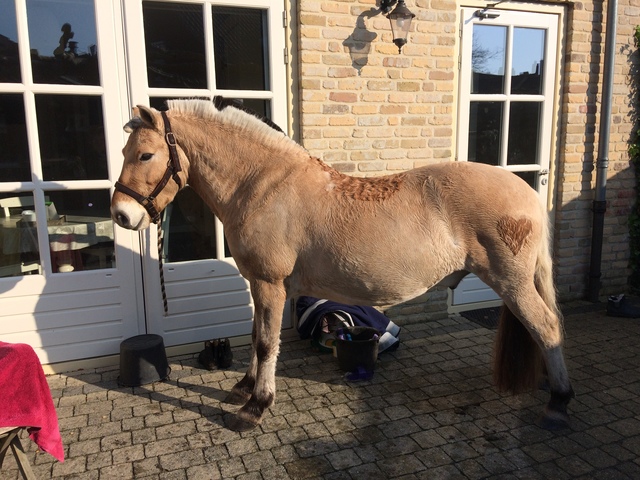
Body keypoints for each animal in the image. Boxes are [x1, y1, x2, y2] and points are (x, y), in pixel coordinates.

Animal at [111, 98, 573, 432]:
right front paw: (243, 389)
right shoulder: (260, 284)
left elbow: (266, 343)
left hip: (512, 283)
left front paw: (255, 407)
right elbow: (257, 336)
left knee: (547, 328)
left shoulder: (270, 284)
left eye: (146, 154)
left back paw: (559, 401)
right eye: (126, 151)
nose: (121, 215)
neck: (262, 185)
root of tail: (525, 192)